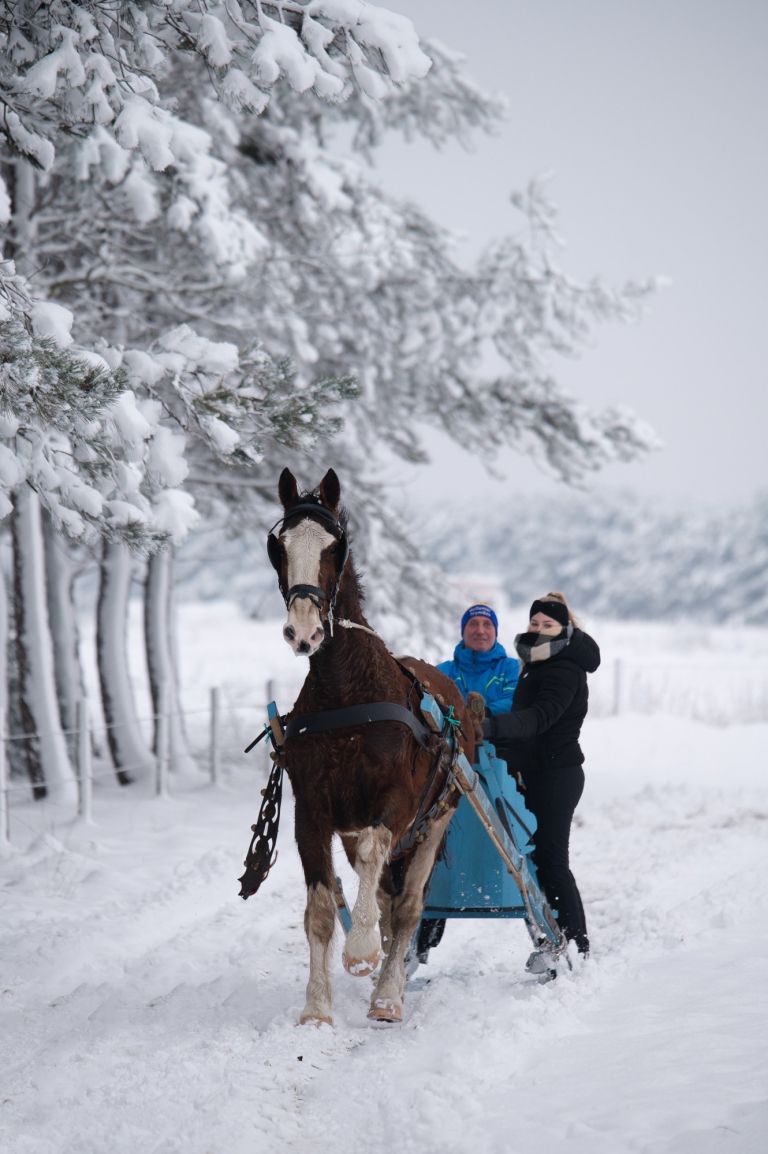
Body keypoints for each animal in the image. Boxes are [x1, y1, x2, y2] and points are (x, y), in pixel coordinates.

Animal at [267, 463, 472, 1024]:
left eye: (334, 545)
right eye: (278, 545)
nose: (304, 632)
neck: (347, 691)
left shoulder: (396, 805)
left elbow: (380, 868)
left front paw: (361, 954)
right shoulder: (312, 810)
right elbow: (320, 910)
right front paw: (316, 1008)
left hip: (437, 817)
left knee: (406, 907)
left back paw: (388, 995)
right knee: (380, 892)